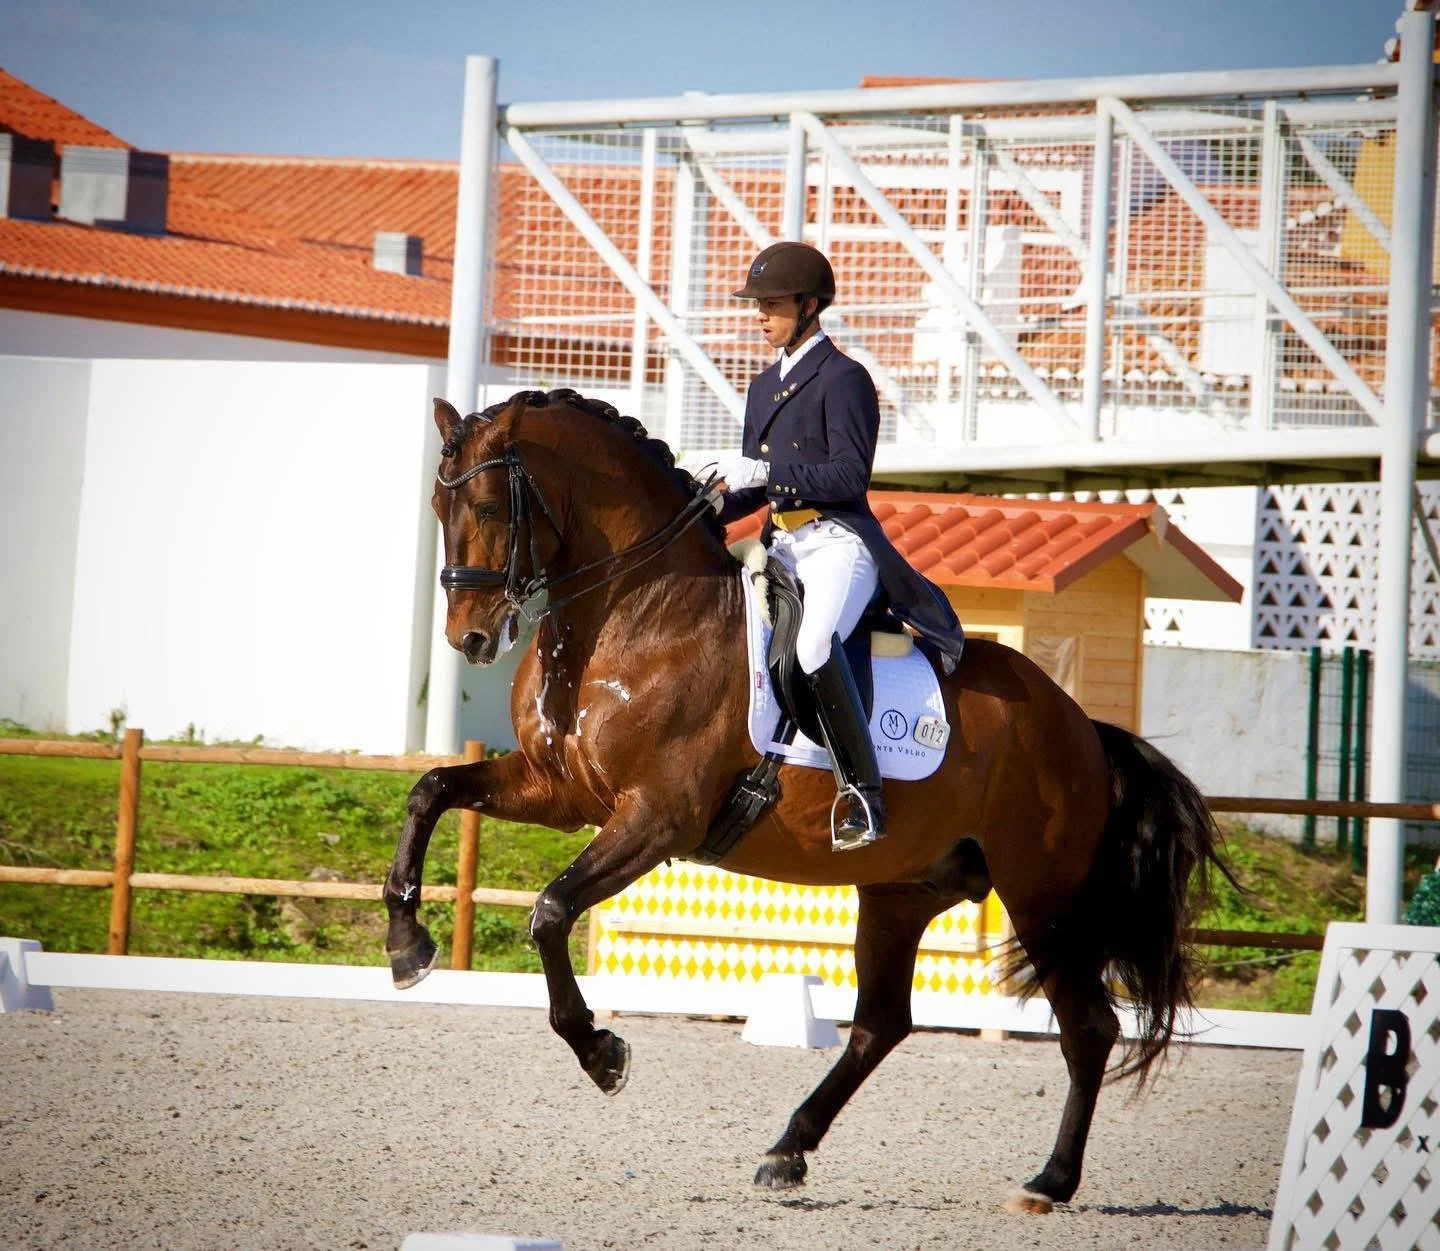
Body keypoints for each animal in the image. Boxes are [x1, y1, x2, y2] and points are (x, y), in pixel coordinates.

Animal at [383, 387, 1230, 1213]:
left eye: (488, 505)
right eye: (436, 504)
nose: (471, 640)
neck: (636, 615)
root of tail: (1079, 723)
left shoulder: (656, 818)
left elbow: (552, 909)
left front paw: (602, 1052)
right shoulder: (558, 790)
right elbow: (432, 790)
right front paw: (407, 945)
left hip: (1040, 896)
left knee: (1087, 1027)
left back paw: (1047, 1181)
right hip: (902, 890)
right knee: (881, 1024)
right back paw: (788, 1150)